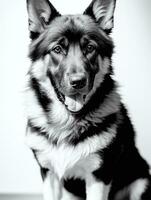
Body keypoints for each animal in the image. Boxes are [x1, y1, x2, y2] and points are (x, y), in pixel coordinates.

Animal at [25, 0, 151, 200]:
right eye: (57, 49)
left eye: (90, 48)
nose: (78, 82)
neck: (67, 121)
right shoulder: (49, 173)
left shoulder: (98, 176)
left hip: (141, 183)